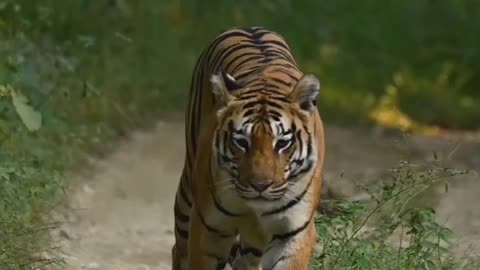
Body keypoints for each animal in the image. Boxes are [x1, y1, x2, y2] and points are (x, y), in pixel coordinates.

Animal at [171, 25, 324, 270]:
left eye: (283, 143)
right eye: (242, 142)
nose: (260, 186)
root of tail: (249, 28)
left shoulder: (292, 230)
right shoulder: (209, 228)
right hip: (187, 198)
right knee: (179, 249)